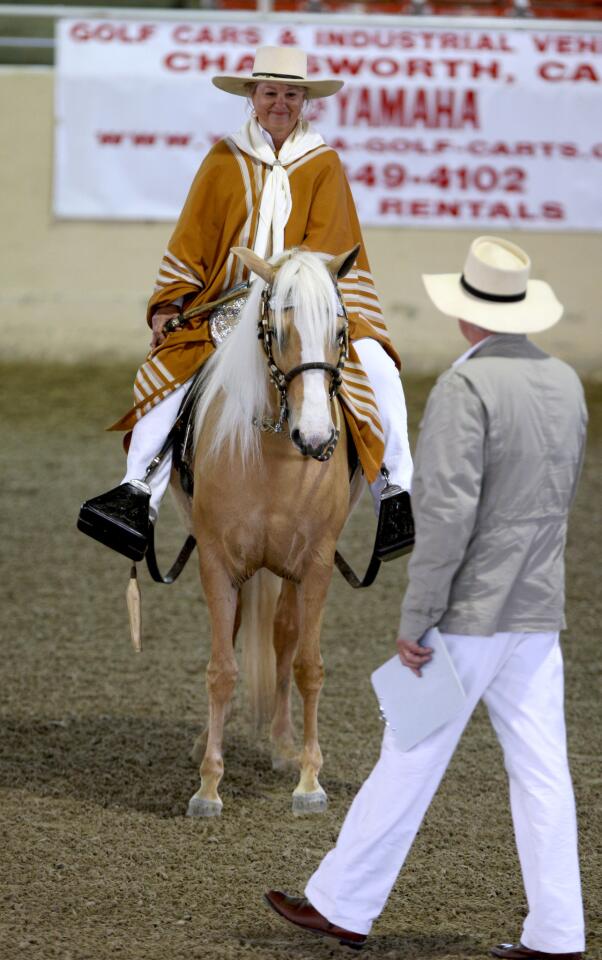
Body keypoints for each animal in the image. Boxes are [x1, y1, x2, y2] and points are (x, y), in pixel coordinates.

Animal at [185, 246, 358, 816]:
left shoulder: (317, 564)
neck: (277, 458)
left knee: (284, 635)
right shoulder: (215, 561)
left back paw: (283, 746)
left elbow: (308, 666)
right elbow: (221, 669)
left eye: (340, 330)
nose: (317, 437)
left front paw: (308, 781)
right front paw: (208, 786)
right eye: (278, 332)